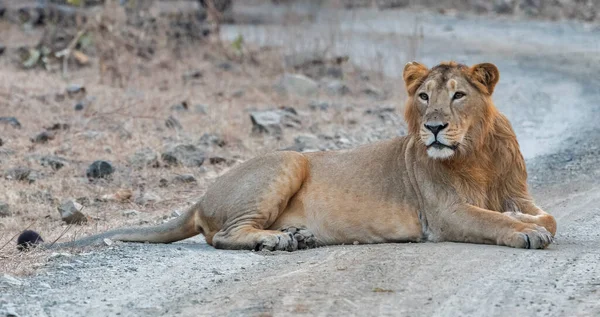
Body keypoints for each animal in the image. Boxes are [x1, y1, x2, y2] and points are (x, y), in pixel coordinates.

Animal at [17, 60, 556, 251]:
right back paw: (277, 242)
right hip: (289, 160)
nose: (435, 127)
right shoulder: (443, 215)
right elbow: (491, 219)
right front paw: (523, 232)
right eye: (424, 97)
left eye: (458, 96)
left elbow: (545, 215)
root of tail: (200, 199)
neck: (477, 153)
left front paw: (530, 223)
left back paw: (297, 236)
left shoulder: (519, 193)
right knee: (222, 237)